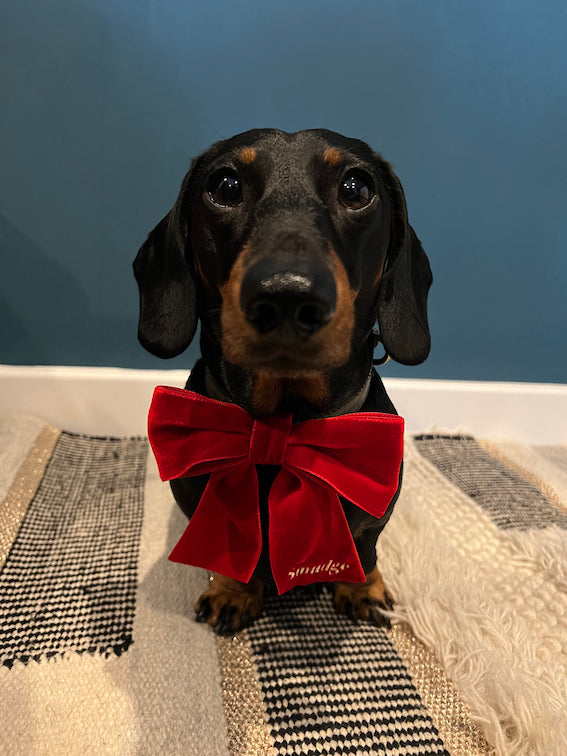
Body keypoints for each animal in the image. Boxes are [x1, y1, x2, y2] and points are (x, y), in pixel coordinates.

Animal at [135, 128, 432, 632]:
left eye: (356, 188)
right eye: (225, 186)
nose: (287, 297)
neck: (285, 425)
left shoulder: (376, 513)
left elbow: (365, 549)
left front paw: (362, 586)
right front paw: (232, 591)